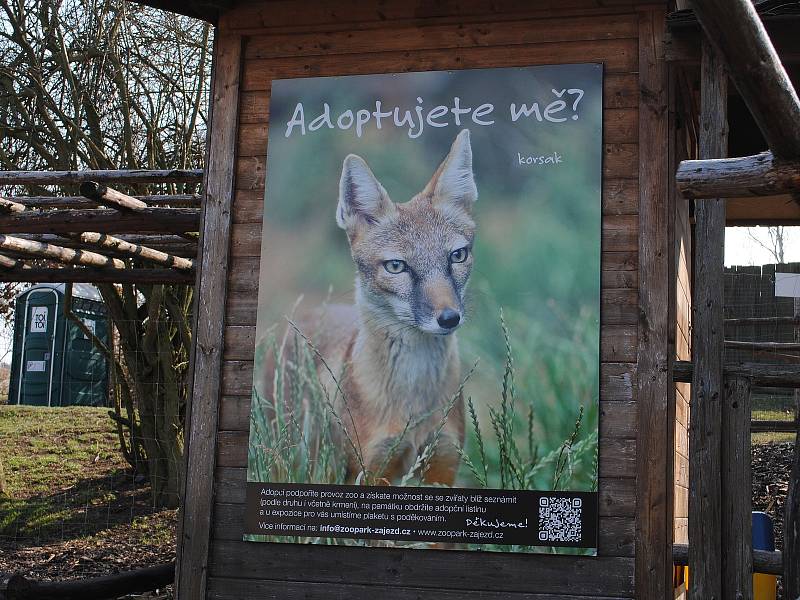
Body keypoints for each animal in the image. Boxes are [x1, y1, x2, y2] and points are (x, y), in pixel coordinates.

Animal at [260, 129, 476, 486]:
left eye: (457, 256)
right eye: (396, 266)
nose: (449, 318)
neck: (414, 403)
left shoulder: (442, 464)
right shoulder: (374, 468)